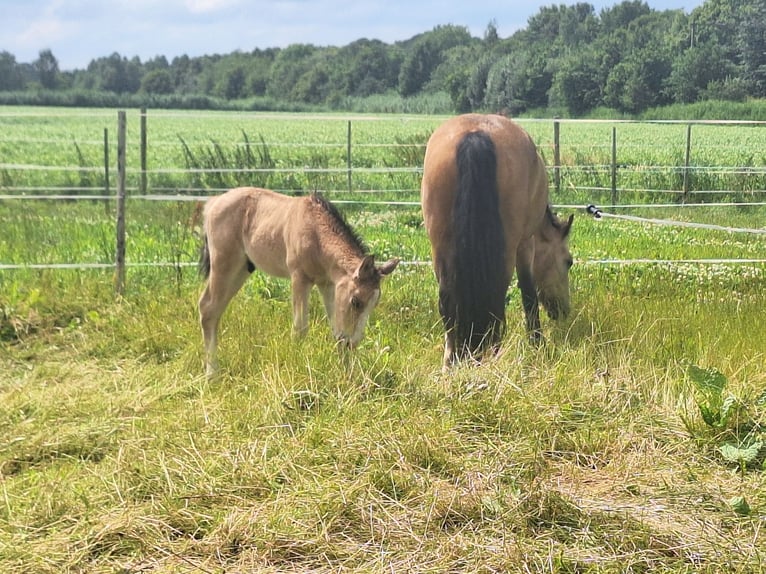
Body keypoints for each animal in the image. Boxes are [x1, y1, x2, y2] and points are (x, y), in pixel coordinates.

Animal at [420, 114, 576, 366]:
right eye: (568, 262)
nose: (563, 311)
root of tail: (474, 135)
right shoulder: (525, 244)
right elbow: (528, 294)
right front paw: (537, 343)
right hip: (507, 249)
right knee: (497, 296)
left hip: (439, 247)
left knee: (447, 303)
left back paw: (451, 361)